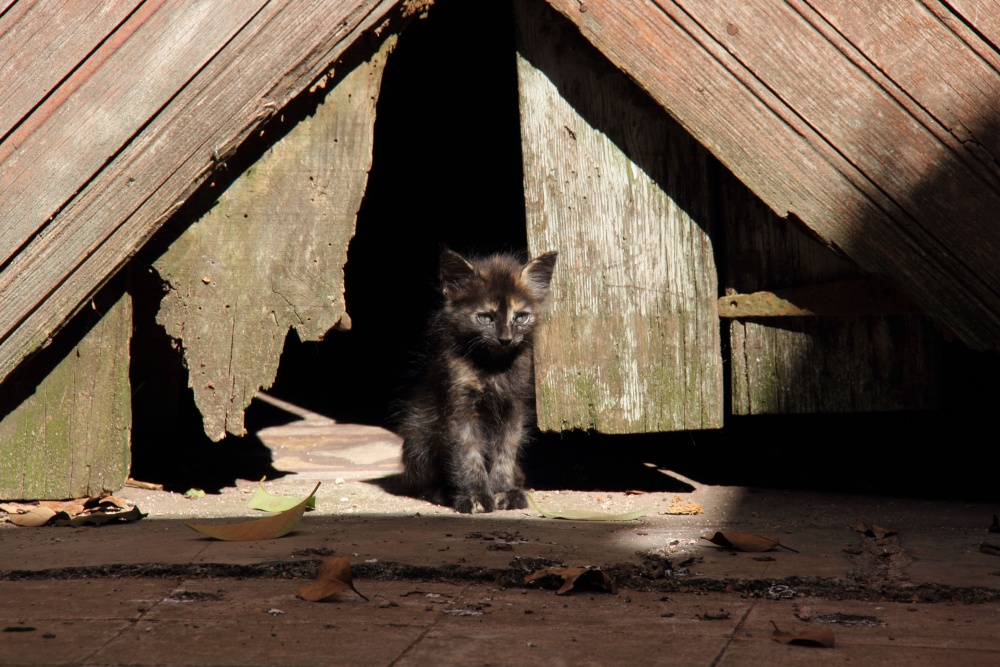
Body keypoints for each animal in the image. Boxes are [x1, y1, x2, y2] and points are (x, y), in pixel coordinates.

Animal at [396, 248, 556, 516]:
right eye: (486, 318)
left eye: (521, 317)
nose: (506, 339)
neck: (493, 369)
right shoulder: (459, 410)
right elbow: (468, 455)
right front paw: (475, 496)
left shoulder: (514, 411)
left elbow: (505, 453)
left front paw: (504, 491)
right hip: (418, 434)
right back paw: (441, 492)